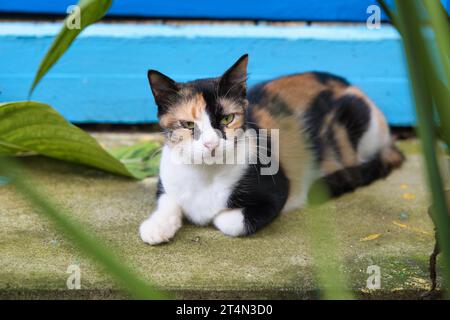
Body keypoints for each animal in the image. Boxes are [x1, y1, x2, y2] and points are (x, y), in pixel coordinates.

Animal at [138, 54, 404, 245]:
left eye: (227, 119)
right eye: (188, 125)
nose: (211, 144)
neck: (205, 175)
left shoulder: (276, 190)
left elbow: (226, 221)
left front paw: (213, 216)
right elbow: (167, 200)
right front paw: (155, 227)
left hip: (357, 116)